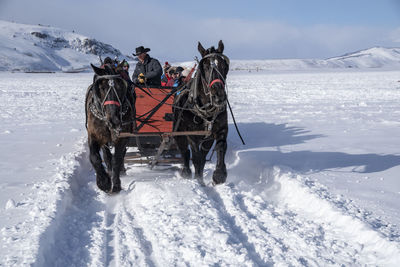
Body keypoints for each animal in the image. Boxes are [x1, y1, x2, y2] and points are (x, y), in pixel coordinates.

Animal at [85, 62, 135, 194]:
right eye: (102, 88)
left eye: (120, 87)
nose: (114, 120)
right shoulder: (94, 135)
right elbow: (95, 158)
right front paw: (104, 182)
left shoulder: (122, 137)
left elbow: (117, 159)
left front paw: (116, 184)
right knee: (106, 155)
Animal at [173, 40, 230, 186]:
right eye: (205, 66)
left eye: (224, 65)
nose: (219, 96)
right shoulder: (191, 134)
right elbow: (195, 157)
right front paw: (198, 180)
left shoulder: (218, 131)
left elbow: (220, 147)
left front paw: (219, 175)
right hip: (178, 132)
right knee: (184, 151)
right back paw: (186, 172)